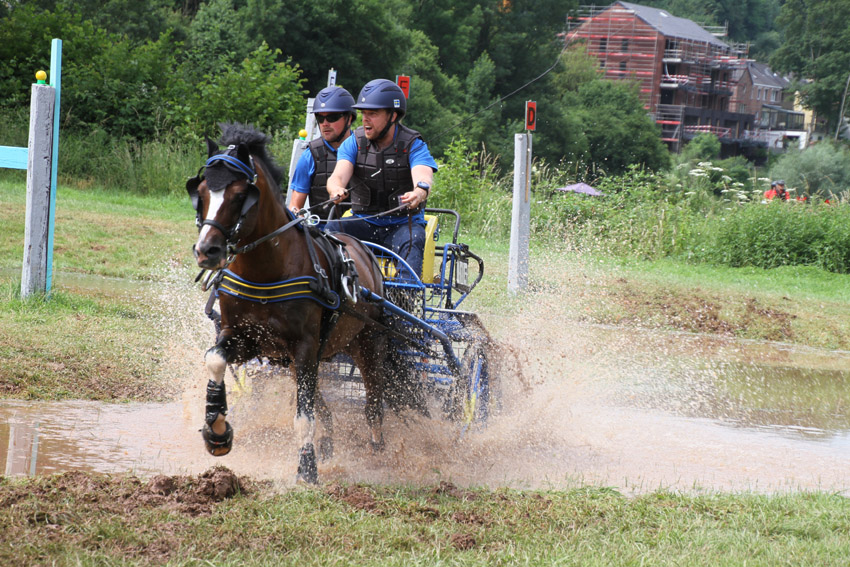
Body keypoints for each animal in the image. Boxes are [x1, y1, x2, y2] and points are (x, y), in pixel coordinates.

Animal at [188, 123, 388, 484]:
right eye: (202, 191)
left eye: (239, 195)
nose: (206, 250)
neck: (267, 271)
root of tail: (365, 251)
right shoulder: (246, 339)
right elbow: (215, 359)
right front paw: (217, 430)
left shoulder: (305, 346)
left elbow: (303, 415)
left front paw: (307, 469)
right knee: (325, 406)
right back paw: (329, 442)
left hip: (366, 342)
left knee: (373, 399)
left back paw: (376, 444)